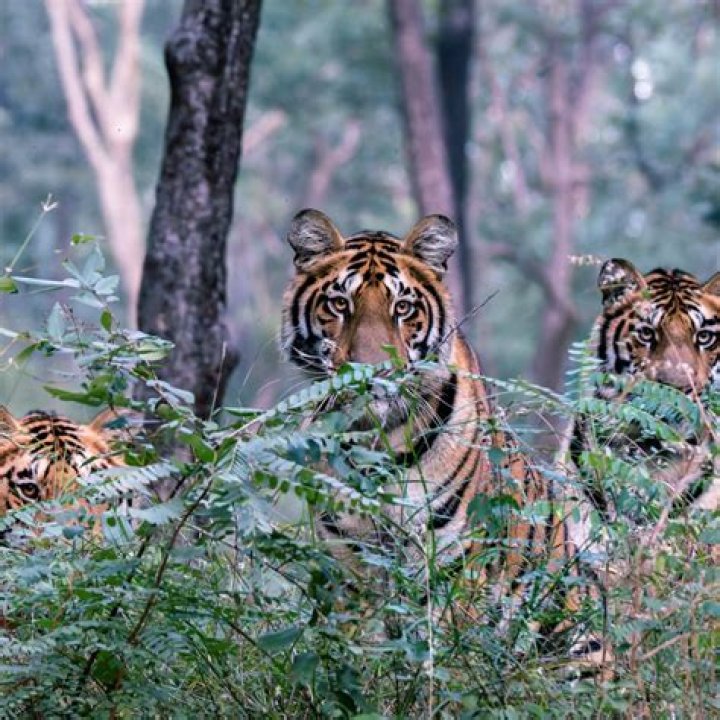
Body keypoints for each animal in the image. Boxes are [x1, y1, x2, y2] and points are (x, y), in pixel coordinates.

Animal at [281, 208, 612, 674]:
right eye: (340, 304)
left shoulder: (455, 564)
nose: (373, 372)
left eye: (402, 308)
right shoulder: (348, 564)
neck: (374, 442)